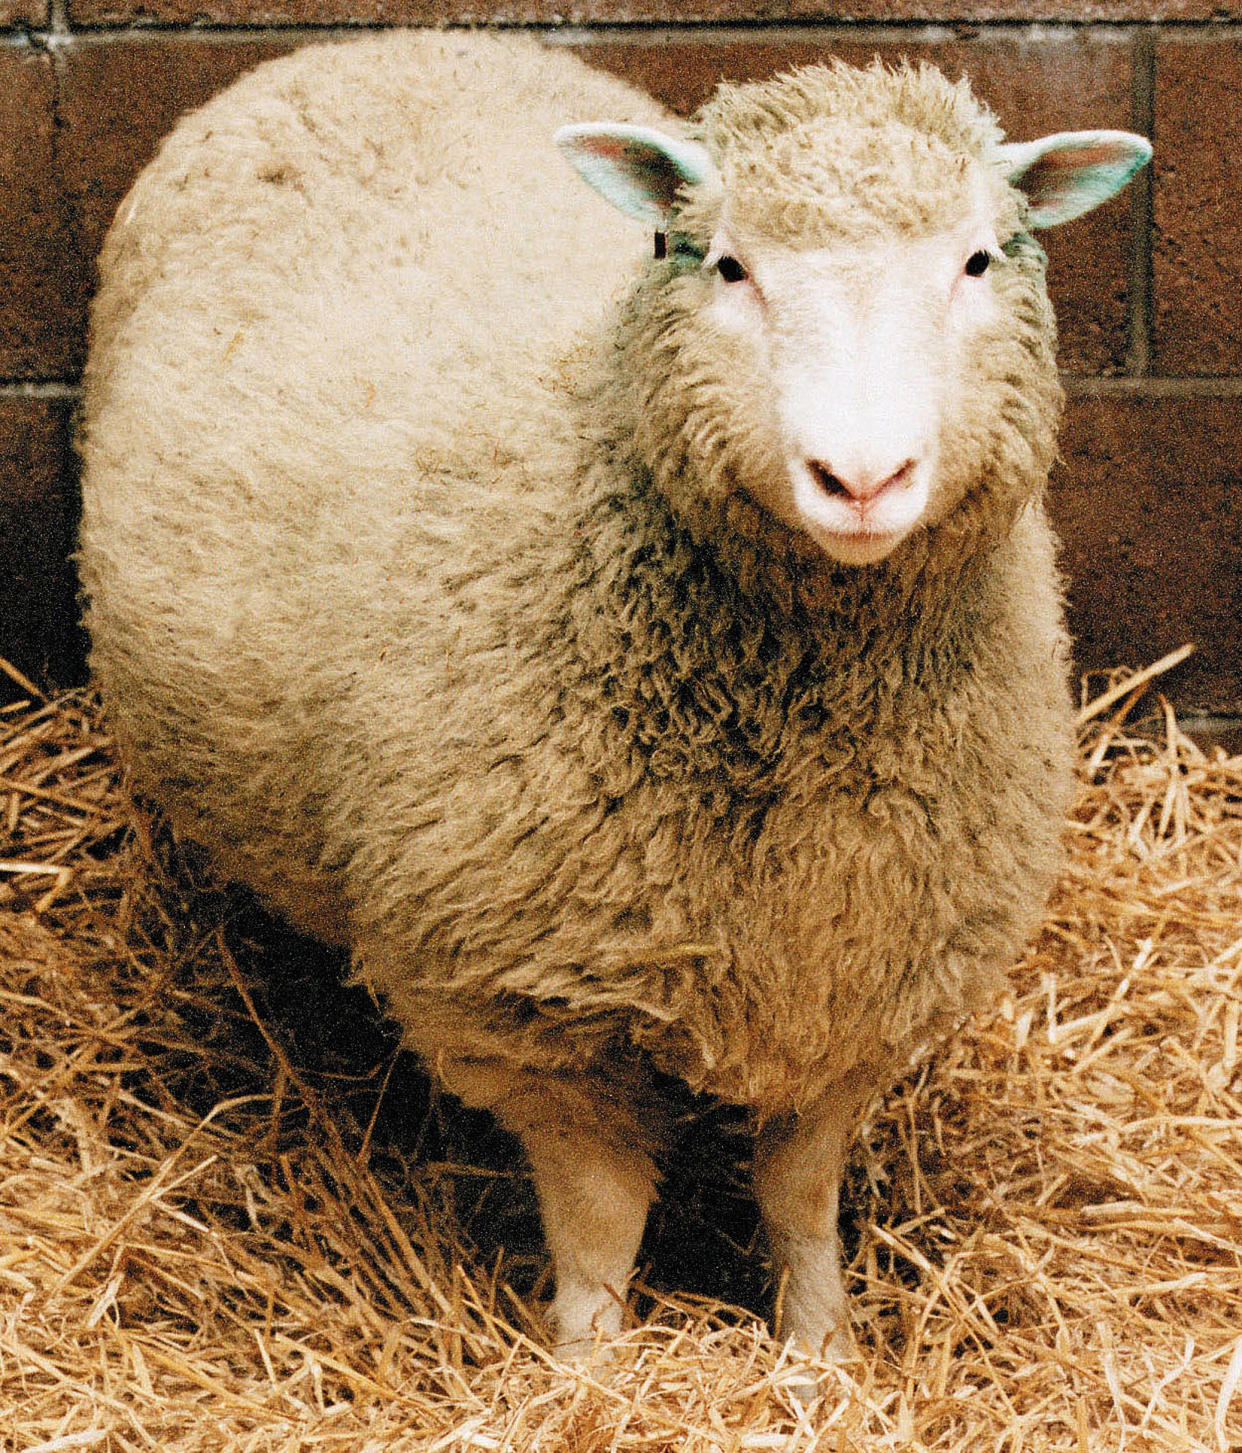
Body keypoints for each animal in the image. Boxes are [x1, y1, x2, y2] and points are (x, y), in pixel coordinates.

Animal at [77, 34, 1156, 1371]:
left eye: (976, 260)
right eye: (728, 264)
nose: (861, 478)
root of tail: (370, 43)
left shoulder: (860, 974)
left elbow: (800, 1194)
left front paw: (822, 1356)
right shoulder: (535, 1003)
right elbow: (601, 1220)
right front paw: (589, 1368)